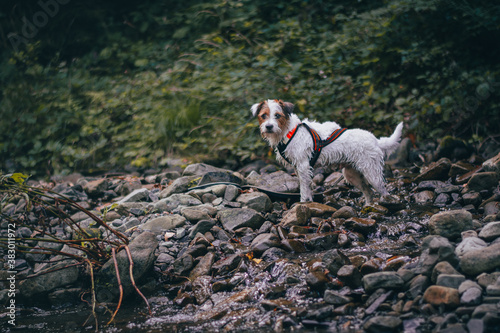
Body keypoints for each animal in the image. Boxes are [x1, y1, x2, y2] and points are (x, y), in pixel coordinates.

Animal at [250, 98, 402, 204]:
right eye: (263, 115)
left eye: (277, 115)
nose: (269, 126)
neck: (288, 131)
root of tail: (375, 140)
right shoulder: (299, 168)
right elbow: (306, 186)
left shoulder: (303, 166)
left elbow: (304, 189)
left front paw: (303, 203)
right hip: (352, 174)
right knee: (368, 192)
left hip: (372, 174)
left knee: (383, 191)